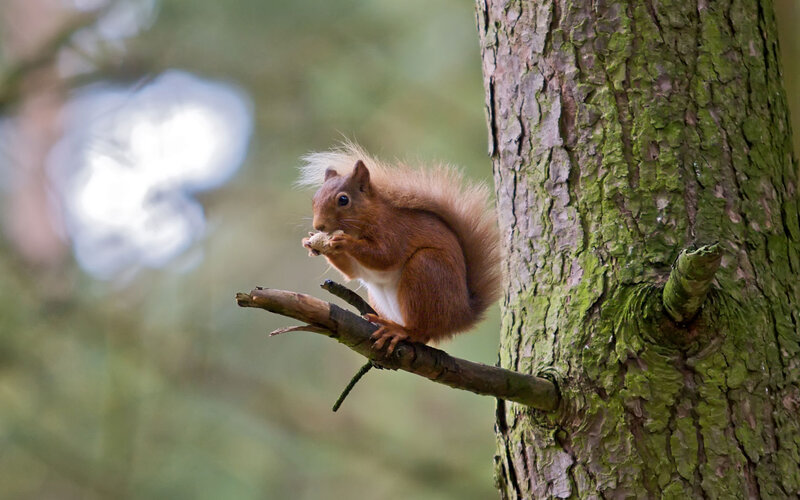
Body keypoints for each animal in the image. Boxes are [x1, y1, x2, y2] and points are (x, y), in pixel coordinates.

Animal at [300, 143, 501, 354]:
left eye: (343, 200)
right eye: (314, 199)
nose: (319, 226)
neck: (369, 216)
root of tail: (462, 316)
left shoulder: (395, 231)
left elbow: (386, 256)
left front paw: (344, 242)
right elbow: (352, 272)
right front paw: (311, 242)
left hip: (425, 271)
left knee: (422, 331)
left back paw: (399, 331)